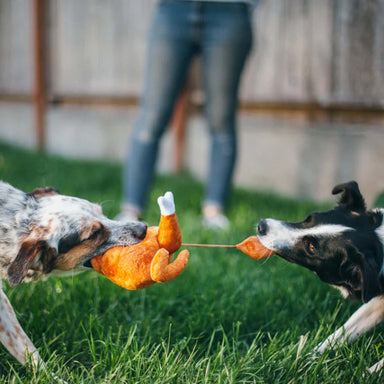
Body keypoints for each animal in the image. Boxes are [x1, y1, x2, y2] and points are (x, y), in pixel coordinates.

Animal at [256, 182, 384, 374]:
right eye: (309, 218)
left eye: (311, 247)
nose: (261, 225)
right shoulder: (376, 303)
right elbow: (337, 336)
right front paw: (294, 364)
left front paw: (367, 374)